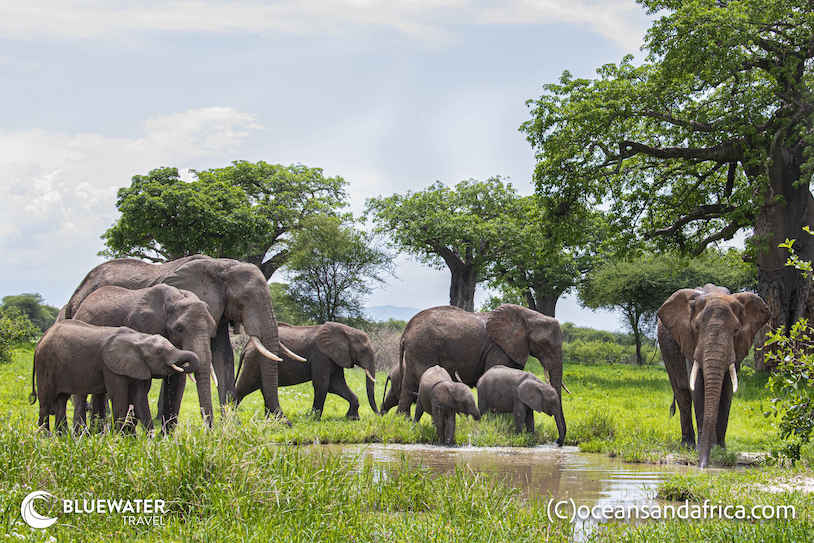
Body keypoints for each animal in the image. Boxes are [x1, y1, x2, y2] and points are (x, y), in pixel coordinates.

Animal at [32, 320, 199, 434]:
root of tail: (41, 339)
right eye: (159, 352)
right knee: (45, 402)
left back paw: (62, 437)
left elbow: (140, 398)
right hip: (45, 365)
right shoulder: (111, 367)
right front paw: (122, 438)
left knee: (61, 400)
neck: (139, 339)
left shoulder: (139, 366)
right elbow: (119, 396)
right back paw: (45, 437)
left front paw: (146, 441)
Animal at [71, 284, 218, 430]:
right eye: (179, 329)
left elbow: (177, 383)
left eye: (212, 328)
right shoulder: (141, 327)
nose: (208, 431)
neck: (175, 299)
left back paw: (96, 431)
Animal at [235, 322, 378, 421]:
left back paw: (268, 419)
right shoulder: (321, 355)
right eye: (363, 351)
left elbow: (336, 385)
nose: (379, 415)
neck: (345, 331)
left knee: (264, 389)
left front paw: (352, 419)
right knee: (243, 387)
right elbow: (323, 384)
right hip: (254, 360)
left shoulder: (334, 358)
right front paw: (312, 419)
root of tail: (247, 345)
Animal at [393, 304, 566, 446]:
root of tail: (406, 330)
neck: (528, 315)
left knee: (408, 387)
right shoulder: (499, 348)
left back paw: (403, 422)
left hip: (417, 351)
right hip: (423, 349)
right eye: (545, 345)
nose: (557, 442)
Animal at [657, 283, 770, 467]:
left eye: (736, 330)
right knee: (682, 394)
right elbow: (697, 387)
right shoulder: (689, 341)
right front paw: (702, 449)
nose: (703, 466)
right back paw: (687, 446)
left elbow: (728, 389)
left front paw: (720, 450)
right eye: (696, 328)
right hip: (666, 349)